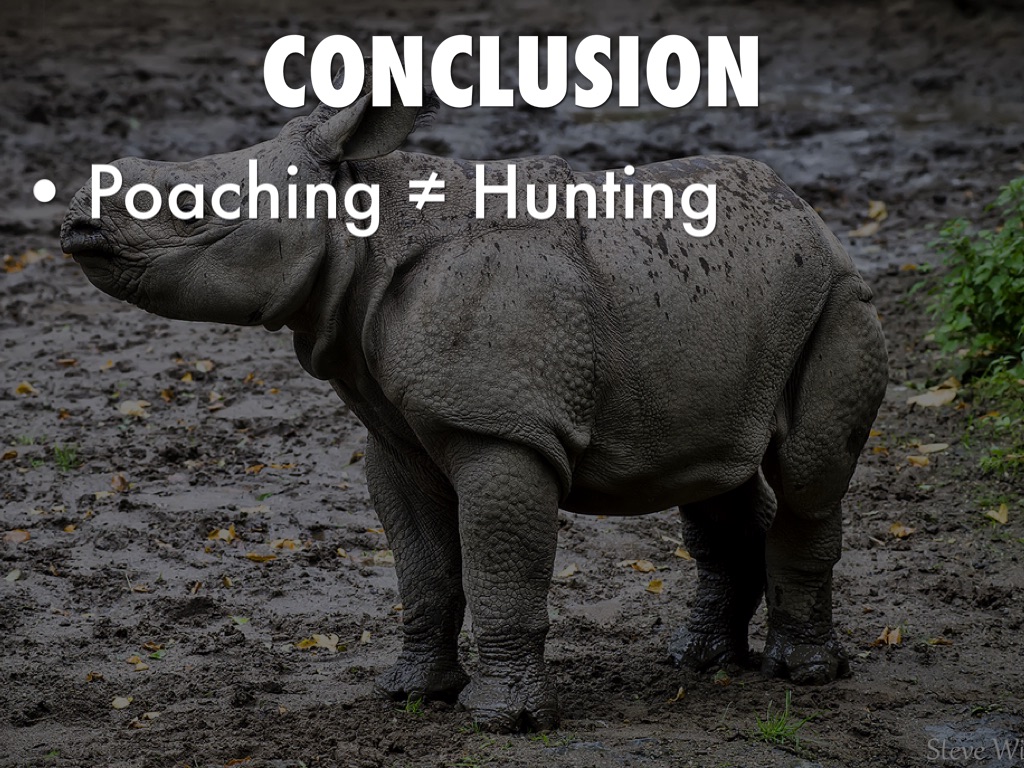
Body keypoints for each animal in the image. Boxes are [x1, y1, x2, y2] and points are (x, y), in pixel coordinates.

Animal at [61, 74, 888, 732]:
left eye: (191, 207)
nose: (75, 222)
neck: (359, 227)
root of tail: (809, 212)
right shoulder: (396, 436)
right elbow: (424, 567)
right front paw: (410, 695)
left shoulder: (501, 428)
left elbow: (500, 568)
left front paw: (502, 720)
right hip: (725, 310)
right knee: (709, 466)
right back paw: (698, 661)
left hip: (836, 294)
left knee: (809, 472)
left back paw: (800, 675)